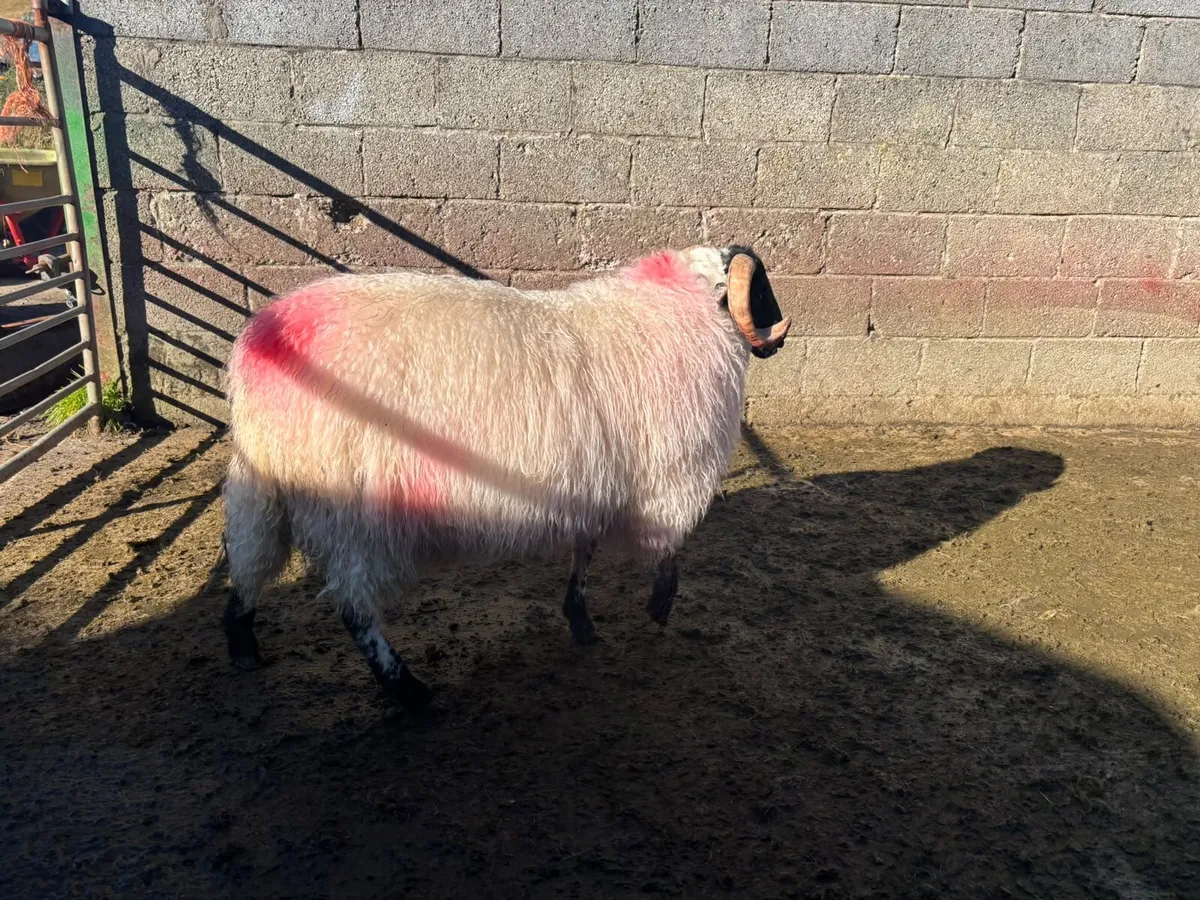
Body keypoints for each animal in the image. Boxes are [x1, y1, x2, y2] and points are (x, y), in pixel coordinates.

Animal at [220, 245, 791, 711]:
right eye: (761, 289)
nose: (779, 340)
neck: (677, 310)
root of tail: (265, 341)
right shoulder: (662, 480)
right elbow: (669, 552)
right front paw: (659, 607)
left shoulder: (593, 479)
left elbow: (584, 551)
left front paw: (580, 619)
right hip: (354, 511)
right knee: (355, 609)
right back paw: (410, 692)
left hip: (265, 491)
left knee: (248, 566)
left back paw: (243, 644)